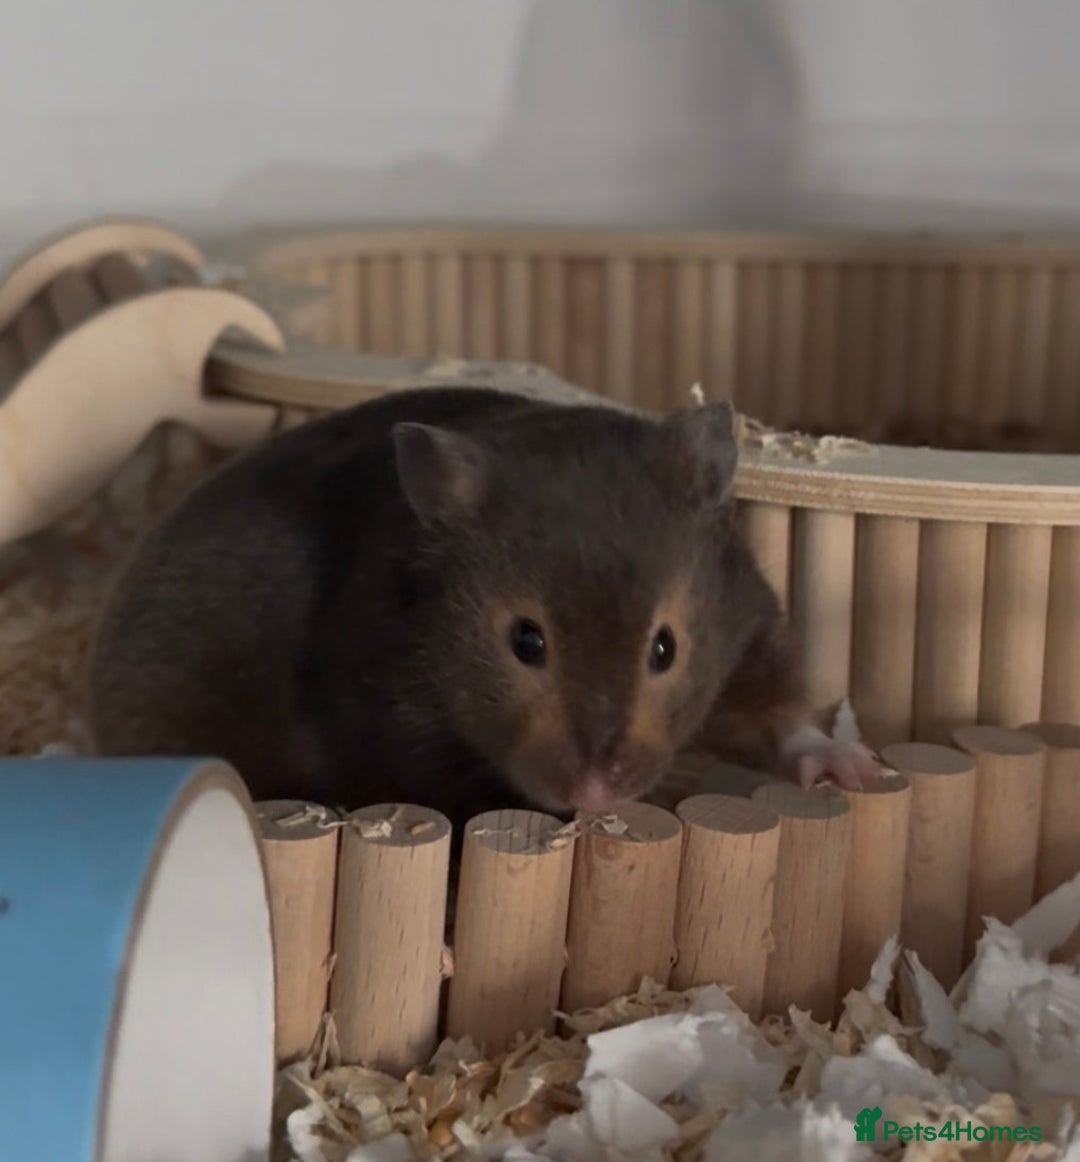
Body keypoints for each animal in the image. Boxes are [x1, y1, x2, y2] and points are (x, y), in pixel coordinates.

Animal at [87, 386, 879, 830]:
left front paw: (853, 768)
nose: (593, 794)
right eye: (525, 642)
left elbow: (781, 718)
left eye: (666, 649)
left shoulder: (748, 627)